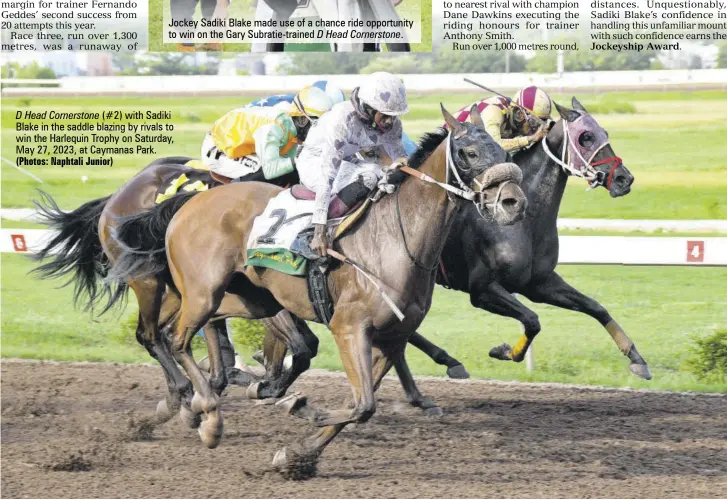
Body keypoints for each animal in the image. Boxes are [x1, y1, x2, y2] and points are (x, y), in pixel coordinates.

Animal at [108, 105, 528, 476]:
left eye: (504, 153)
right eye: (469, 153)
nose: (514, 202)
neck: (397, 239)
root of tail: (190, 199)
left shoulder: (391, 338)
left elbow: (359, 404)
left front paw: (296, 456)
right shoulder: (349, 327)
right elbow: (363, 405)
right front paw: (298, 409)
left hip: (251, 300)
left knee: (180, 331)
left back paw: (198, 400)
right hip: (203, 292)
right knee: (174, 339)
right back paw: (208, 415)